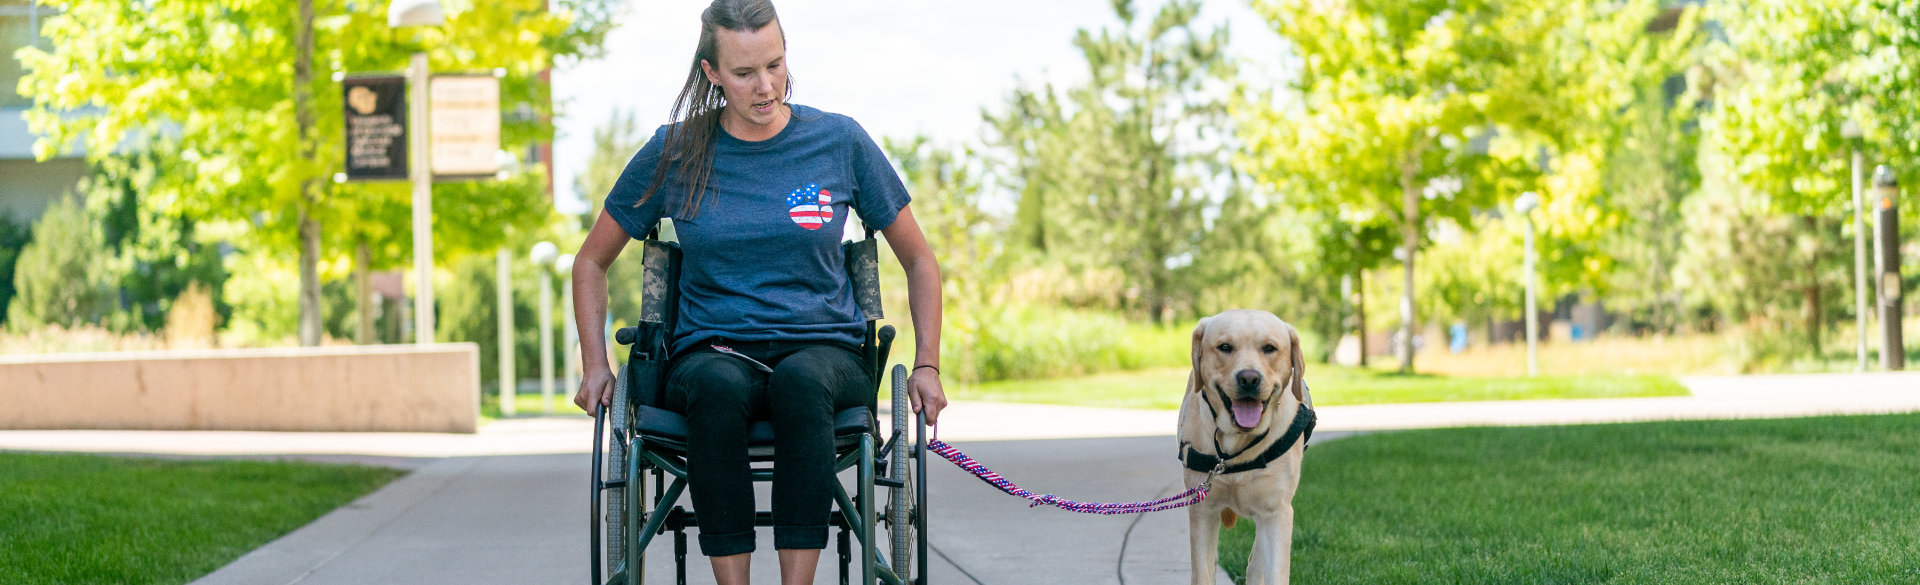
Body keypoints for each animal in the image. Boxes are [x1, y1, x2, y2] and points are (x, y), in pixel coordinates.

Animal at [1175, 306, 1313, 579]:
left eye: (1269, 348)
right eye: (1225, 347)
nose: (1249, 378)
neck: (1236, 444)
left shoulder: (1276, 512)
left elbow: (1275, 572)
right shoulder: (1202, 511)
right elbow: (1203, 571)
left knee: (1255, 565)